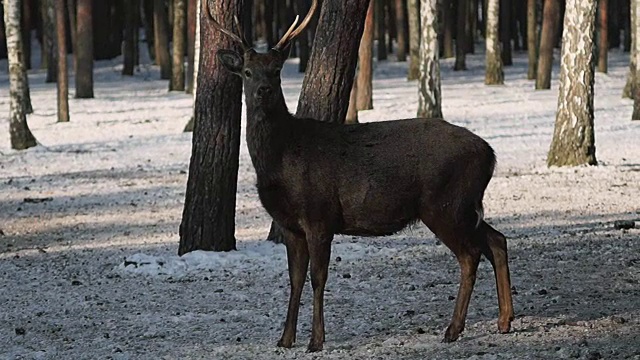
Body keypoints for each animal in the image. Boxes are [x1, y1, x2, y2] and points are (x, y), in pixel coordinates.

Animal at [210, 0, 516, 352]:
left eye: (276, 71)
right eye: (247, 71)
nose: (263, 90)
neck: (280, 161)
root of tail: (489, 154)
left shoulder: (319, 215)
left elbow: (318, 277)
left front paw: (316, 340)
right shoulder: (289, 225)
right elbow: (294, 278)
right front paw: (285, 338)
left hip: (444, 203)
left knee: (470, 255)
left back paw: (453, 329)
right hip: (466, 205)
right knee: (496, 240)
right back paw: (504, 320)